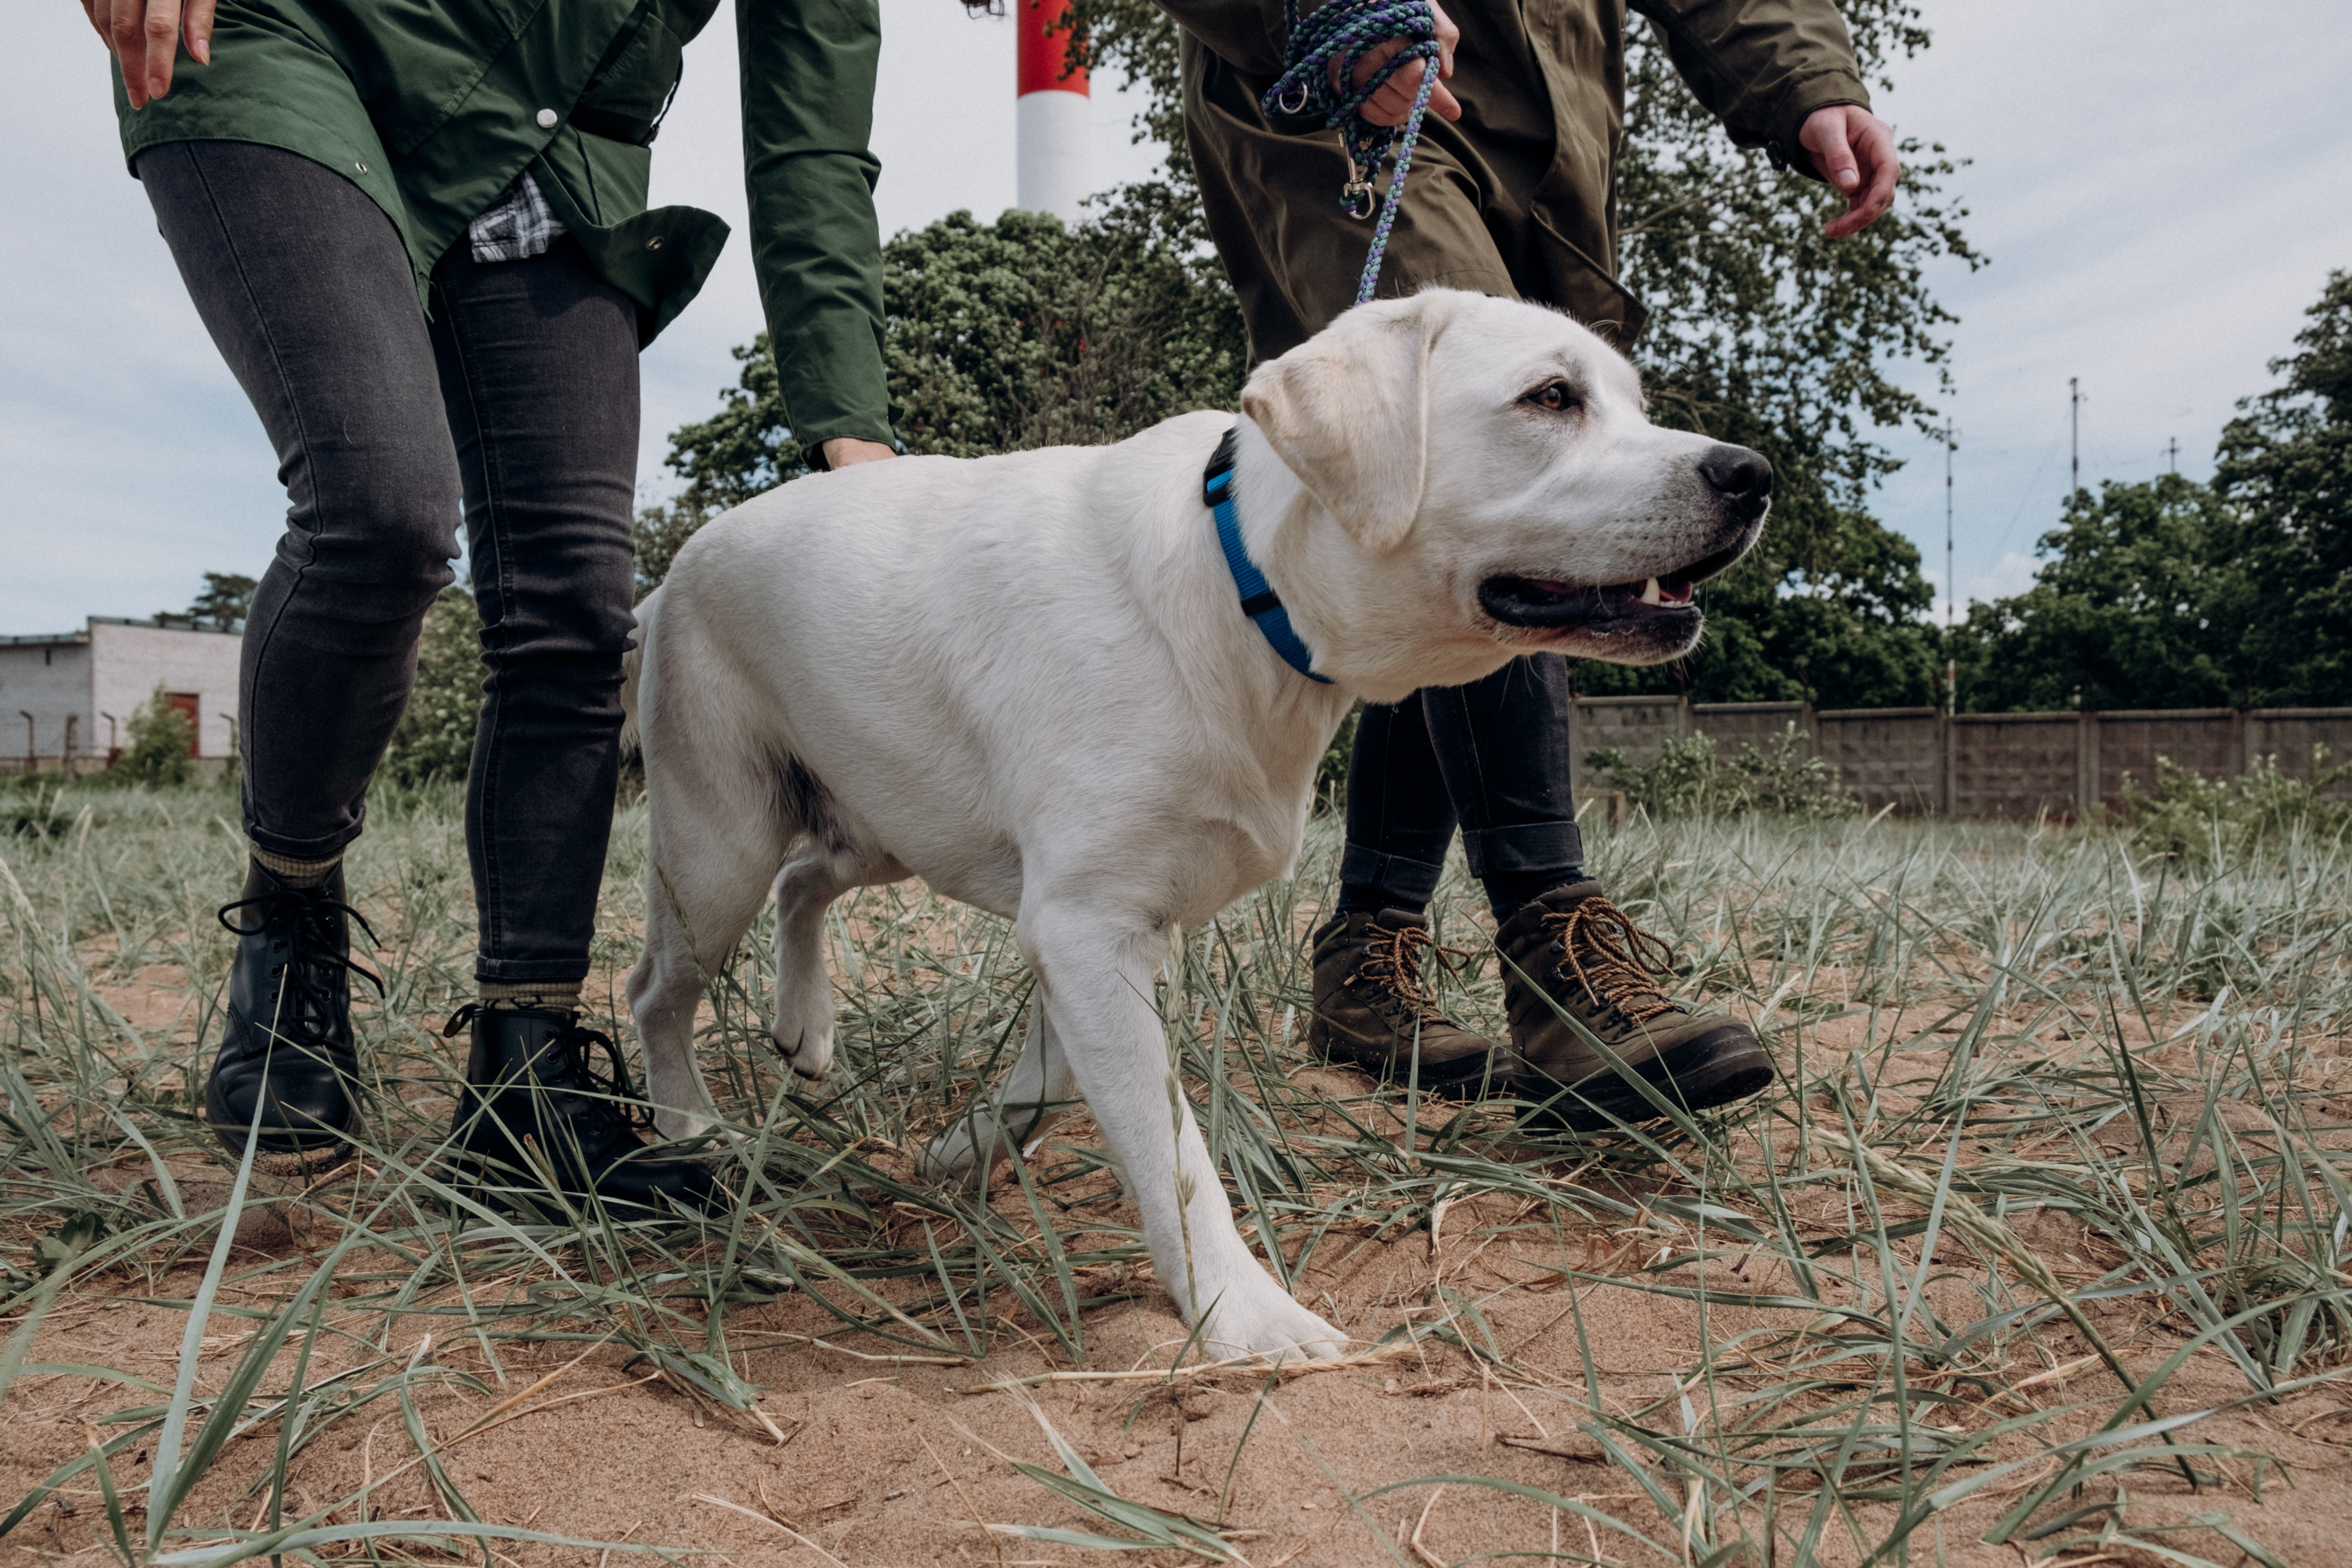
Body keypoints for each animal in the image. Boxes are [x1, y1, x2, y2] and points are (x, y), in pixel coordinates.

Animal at [625, 291, 1768, 1363]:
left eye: (1633, 403)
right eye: (1551, 397)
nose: (1751, 473)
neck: (1242, 586)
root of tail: (679, 563)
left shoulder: (1109, 927)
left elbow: (1053, 1086)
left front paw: (961, 1153)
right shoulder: (1087, 924)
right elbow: (1172, 1156)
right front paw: (1242, 1313)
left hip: (880, 823)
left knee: (804, 883)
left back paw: (804, 1027)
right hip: (720, 845)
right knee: (658, 989)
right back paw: (690, 1133)